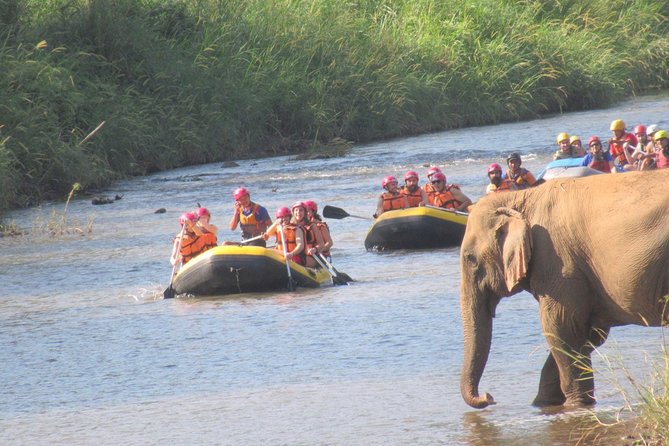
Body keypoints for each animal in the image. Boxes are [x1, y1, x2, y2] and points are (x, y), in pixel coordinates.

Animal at [460, 169, 668, 410]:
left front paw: (574, 406)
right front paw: (544, 404)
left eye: (470, 259)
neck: (519, 198)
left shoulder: (559, 263)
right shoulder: (583, 275)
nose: (489, 397)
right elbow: (588, 333)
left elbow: (560, 327)